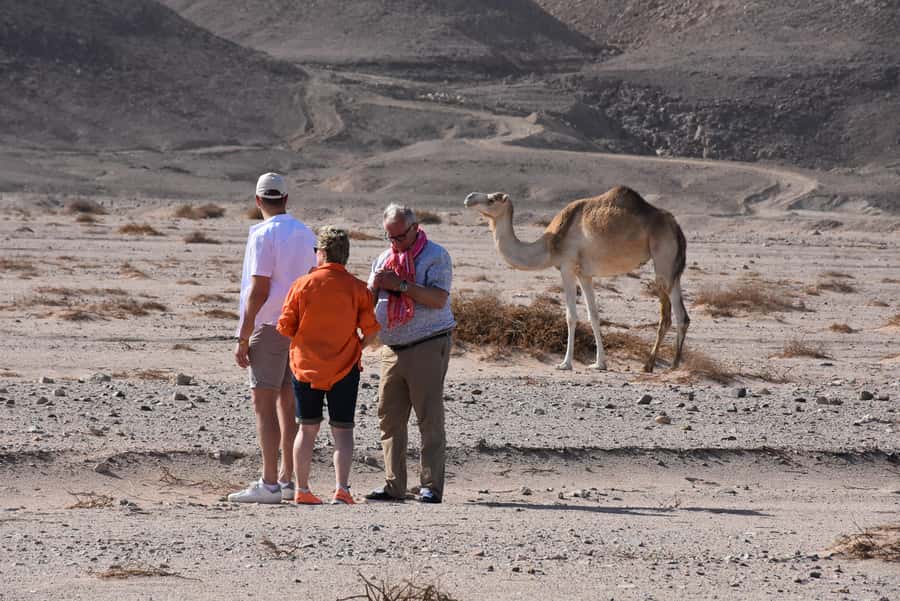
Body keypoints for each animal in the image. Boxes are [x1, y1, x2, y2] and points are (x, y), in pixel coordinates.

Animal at [464, 186, 689, 372]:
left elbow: (571, 316)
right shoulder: (585, 274)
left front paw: (565, 363)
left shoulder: (567, 267)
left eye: (492, 199)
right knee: (680, 314)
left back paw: (659, 364)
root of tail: (677, 227)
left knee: (671, 315)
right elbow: (594, 316)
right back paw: (666, 364)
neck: (550, 244)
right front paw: (599, 363)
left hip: (663, 260)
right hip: (673, 269)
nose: (469, 197)